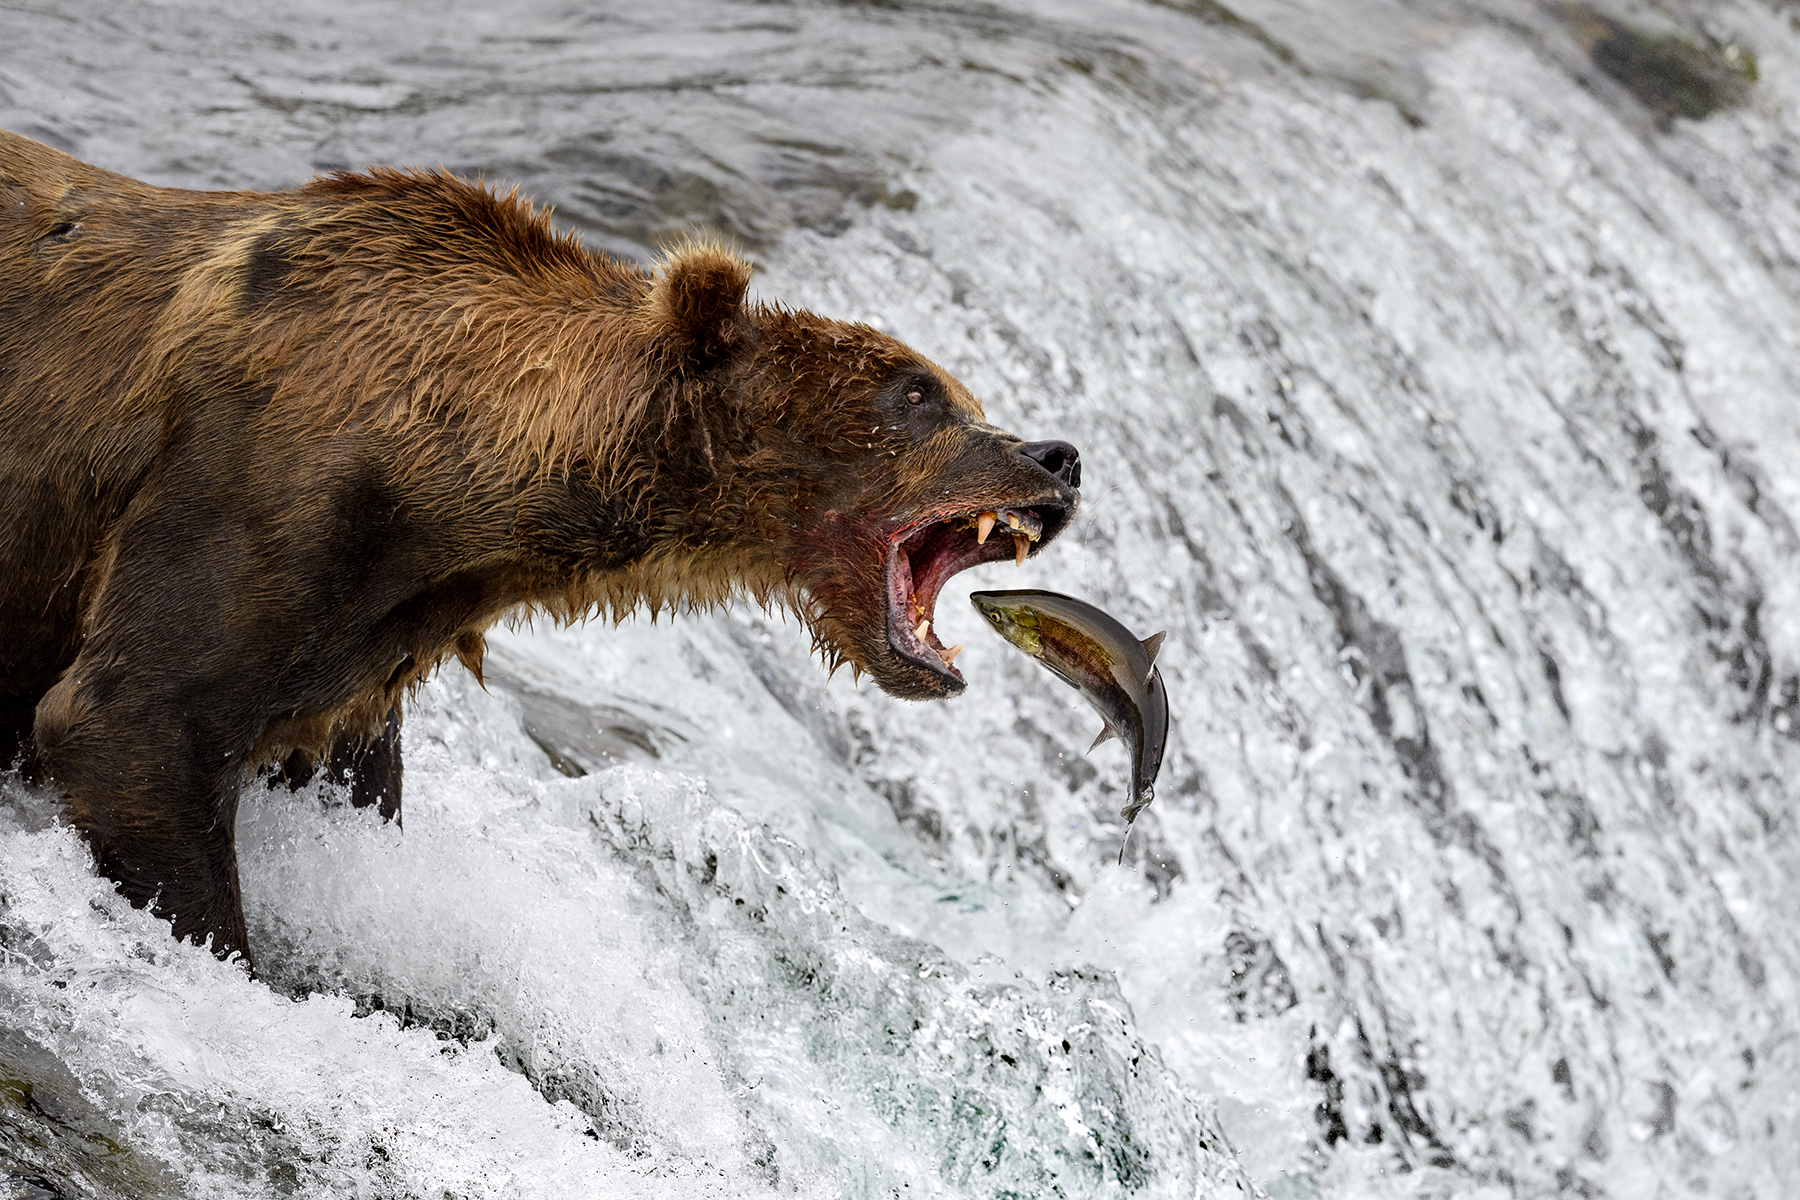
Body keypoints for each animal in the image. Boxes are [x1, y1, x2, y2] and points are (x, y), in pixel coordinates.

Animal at [0, 126, 1080, 964]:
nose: (1057, 456)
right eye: (917, 393)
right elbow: (131, 722)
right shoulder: (256, 500)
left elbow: (336, 770)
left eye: (965, 393)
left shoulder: (356, 651)